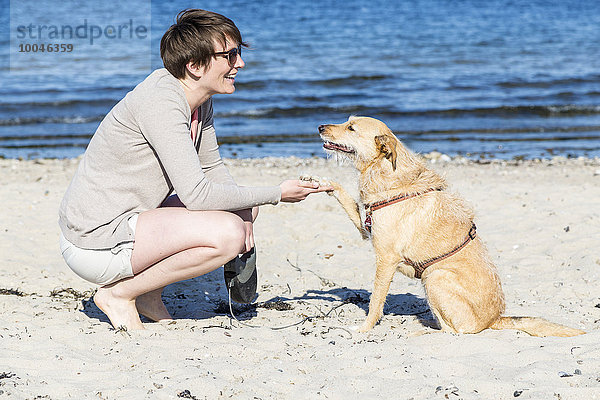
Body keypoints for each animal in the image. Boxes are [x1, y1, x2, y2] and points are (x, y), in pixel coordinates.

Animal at [318, 115, 584, 338]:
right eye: (347, 120)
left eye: (351, 128)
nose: (320, 127)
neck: (386, 172)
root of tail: (494, 320)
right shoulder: (368, 231)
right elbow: (348, 201)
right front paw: (322, 183)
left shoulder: (386, 258)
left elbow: (375, 302)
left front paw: (364, 328)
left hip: (434, 276)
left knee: (453, 331)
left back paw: (421, 331)